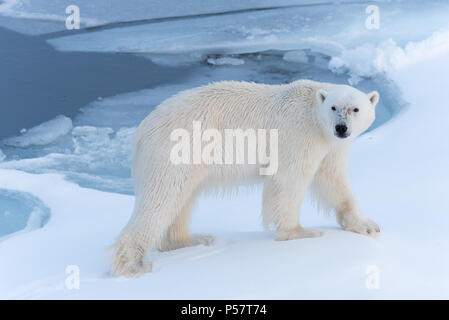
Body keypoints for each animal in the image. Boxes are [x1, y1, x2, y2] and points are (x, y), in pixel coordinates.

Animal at [110, 79, 380, 276]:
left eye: (355, 109)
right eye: (334, 107)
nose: (341, 128)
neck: (313, 112)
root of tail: (142, 129)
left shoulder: (330, 147)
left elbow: (333, 181)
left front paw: (367, 225)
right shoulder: (299, 134)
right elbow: (288, 180)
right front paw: (300, 232)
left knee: (181, 199)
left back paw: (191, 239)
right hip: (176, 149)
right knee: (161, 197)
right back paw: (134, 264)